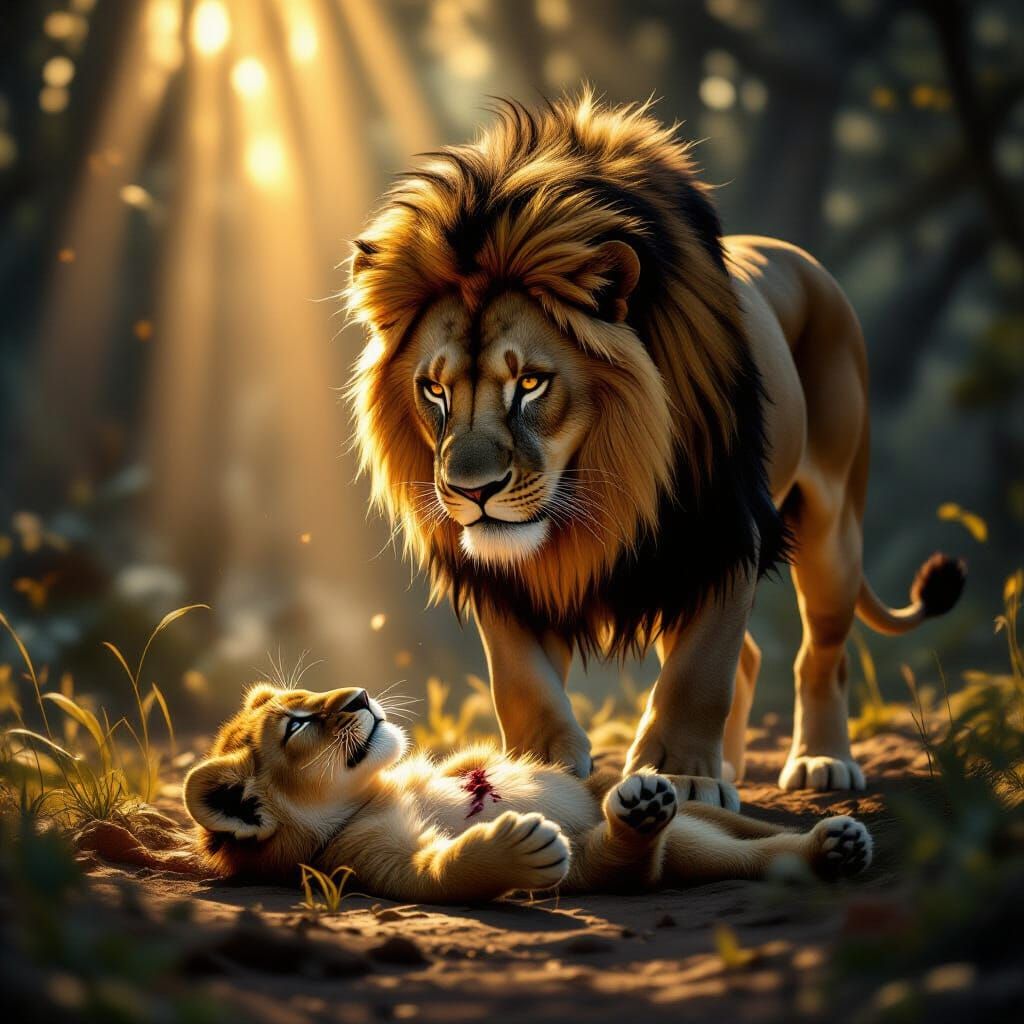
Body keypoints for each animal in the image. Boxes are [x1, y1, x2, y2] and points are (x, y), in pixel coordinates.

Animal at [183, 683, 872, 900]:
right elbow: (439, 872)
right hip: (656, 852)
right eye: (297, 726)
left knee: (753, 844)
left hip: (696, 831)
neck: (375, 790)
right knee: (635, 865)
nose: (359, 696)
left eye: (310, 695)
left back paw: (834, 842)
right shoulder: (367, 859)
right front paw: (515, 848)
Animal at [346, 91, 965, 807]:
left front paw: (680, 774)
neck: (607, 477)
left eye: (530, 383)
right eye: (434, 390)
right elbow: (521, 679)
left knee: (821, 656)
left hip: (832, 522)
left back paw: (821, 761)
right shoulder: (507, 582)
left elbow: (701, 672)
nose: (473, 493)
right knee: (755, 658)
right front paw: (534, 764)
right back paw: (735, 763)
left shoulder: (725, 532)